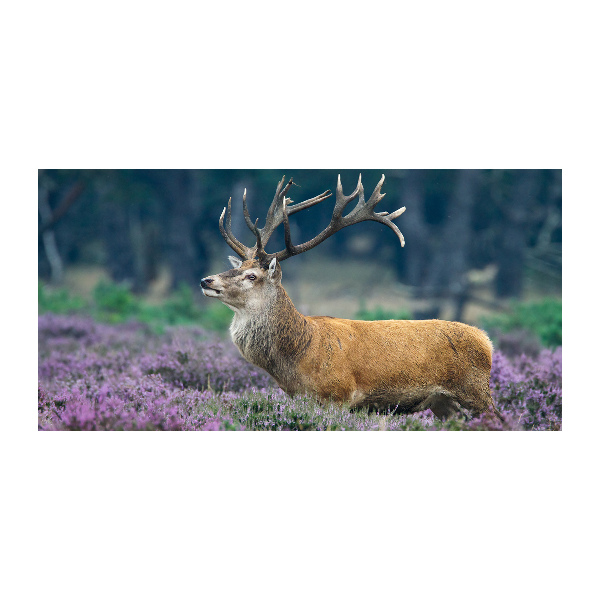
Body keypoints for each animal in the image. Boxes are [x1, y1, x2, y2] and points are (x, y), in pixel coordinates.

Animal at [202, 171, 502, 420]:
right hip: (444, 404)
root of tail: (486, 341)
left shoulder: (339, 395)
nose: (206, 279)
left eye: (252, 276)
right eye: (238, 267)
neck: (299, 356)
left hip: (476, 393)